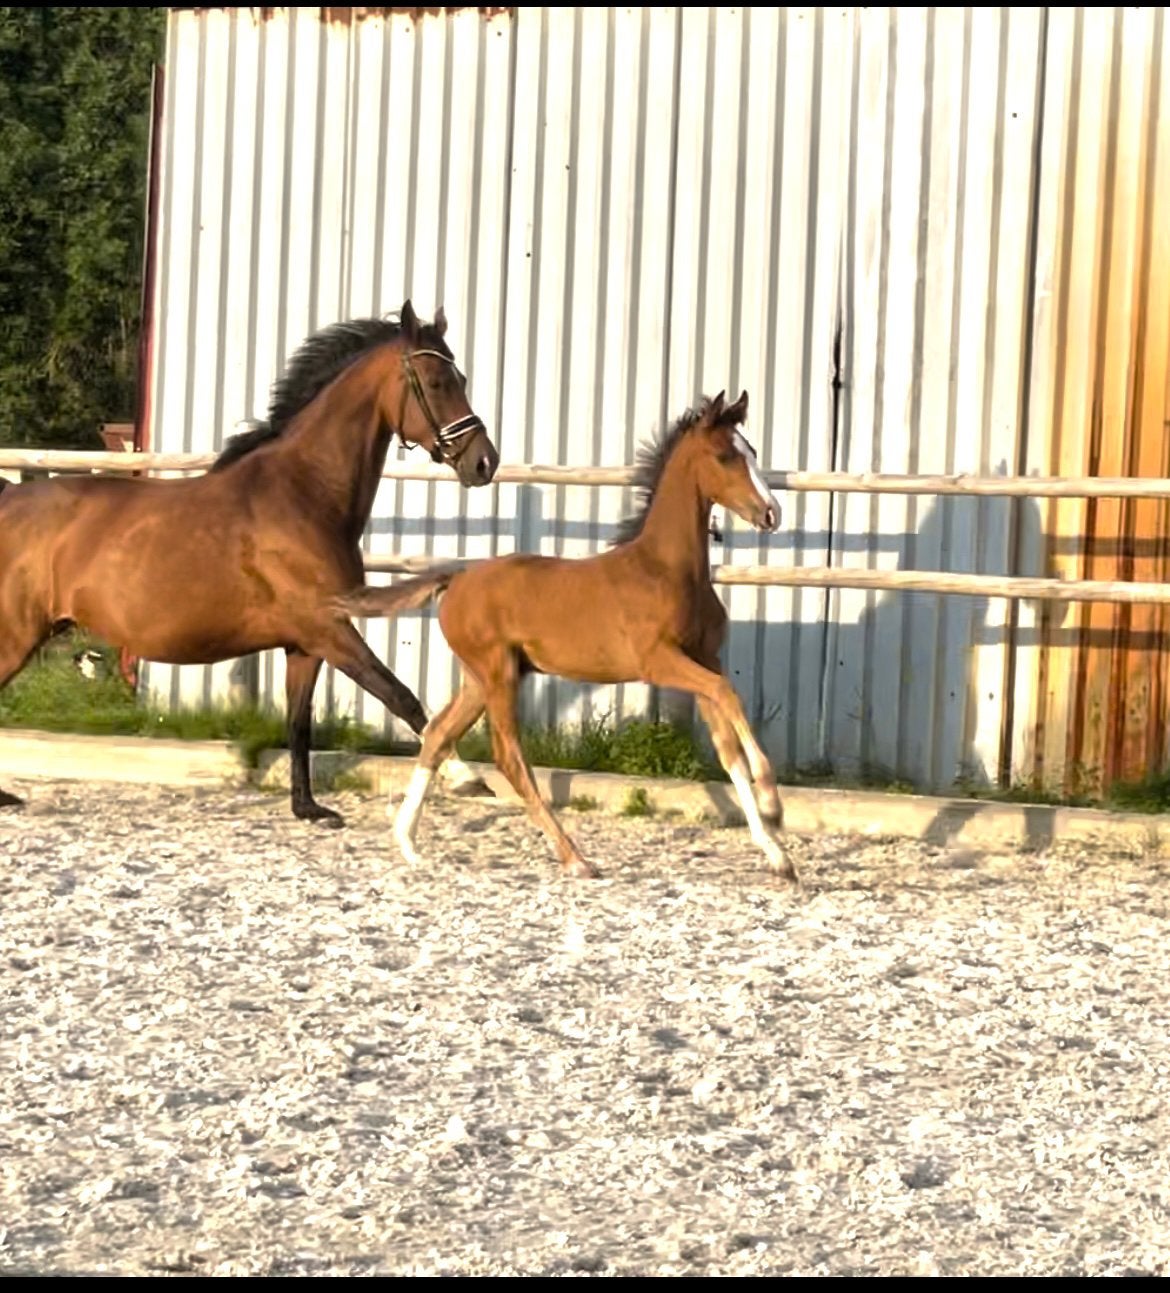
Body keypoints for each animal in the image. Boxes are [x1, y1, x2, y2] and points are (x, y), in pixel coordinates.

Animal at [0, 300, 499, 825]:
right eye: (438, 382)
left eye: (461, 377)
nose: (484, 462)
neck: (305, 493)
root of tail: (9, 498)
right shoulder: (328, 628)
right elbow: (400, 695)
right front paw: (468, 778)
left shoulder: (305, 644)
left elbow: (299, 722)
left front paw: (308, 807)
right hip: (17, 633)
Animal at [338, 390, 798, 883]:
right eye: (725, 456)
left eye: (752, 451)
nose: (771, 513)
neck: (668, 570)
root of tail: (456, 579)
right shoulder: (660, 662)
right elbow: (728, 694)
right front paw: (773, 805)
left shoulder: (704, 658)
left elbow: (729, 752)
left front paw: (778, 856)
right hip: (497, 673)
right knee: (508, 756)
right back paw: (574, 856)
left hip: (481, 678)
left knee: (439, 735)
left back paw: (407, 842)